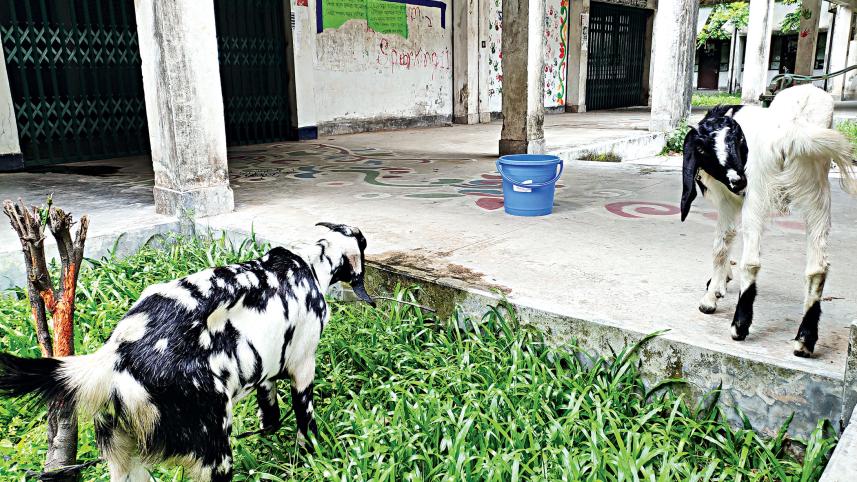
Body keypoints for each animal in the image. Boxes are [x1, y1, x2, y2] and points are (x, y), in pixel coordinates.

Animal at [0, 223, 375, 481]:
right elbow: (305, 427)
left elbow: (270, 414)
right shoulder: (303, 368)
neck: (308, 263)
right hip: (215, 456)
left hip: (126, 463)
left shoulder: (265, 372)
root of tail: (114, 359)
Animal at [681, 84, 857, 358]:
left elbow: (721, 244)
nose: (738, 180)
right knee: (818, 267)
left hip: (759, 190)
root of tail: (791, 131)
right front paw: (720, 283)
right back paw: (804, 340)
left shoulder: (729, 199)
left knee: (751, 260)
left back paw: (739, 326)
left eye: (738, 141)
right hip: (816, 188)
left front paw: (710, 298)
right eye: (702, 148)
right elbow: (728, 240)